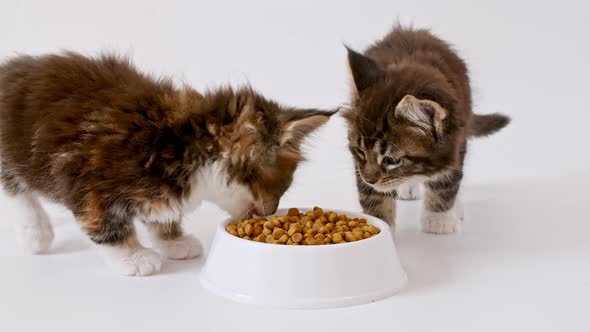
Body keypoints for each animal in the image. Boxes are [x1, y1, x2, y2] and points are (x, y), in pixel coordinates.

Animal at [0, 52, 332, 274]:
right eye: (282, 184)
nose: (272, 212)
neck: (184, 139)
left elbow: (160, 213)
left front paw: (173, 240)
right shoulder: (90, 177)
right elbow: (104, 222)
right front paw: (133, 256)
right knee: (16, 189)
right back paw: (35, 232)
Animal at [344, 26, 512, 233]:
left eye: (392, 160)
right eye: (360, 151)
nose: (369, 180)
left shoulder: (454, 143)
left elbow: (445, 182)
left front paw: (438, 220)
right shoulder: (360, 166)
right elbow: (373, 196)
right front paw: (382, 225)